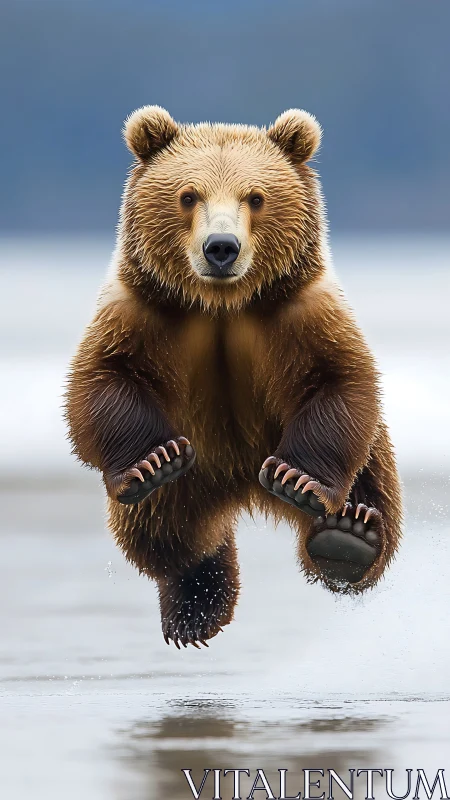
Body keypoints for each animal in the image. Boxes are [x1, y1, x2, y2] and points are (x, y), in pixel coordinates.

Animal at [65, 105, 402, 649]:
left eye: (256, 197)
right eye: (188, 195)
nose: (220, 247)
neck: (222, 305)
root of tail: (238, 486)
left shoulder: (303, 316)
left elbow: (339, 382)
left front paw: (296, 479)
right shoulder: (141, 314)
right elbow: (103, 381)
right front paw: (151, 459)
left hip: (363, 460)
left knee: (374, 491)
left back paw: (348, 537)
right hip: (188, 479)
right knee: (159, 531)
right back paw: (195, 603)